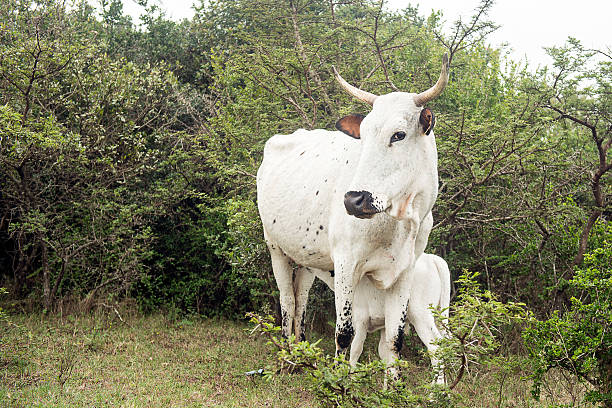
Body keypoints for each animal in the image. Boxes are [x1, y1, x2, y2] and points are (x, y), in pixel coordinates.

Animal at [256, 53, 452, 360]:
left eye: (399, 134)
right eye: (363, 135)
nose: (354, 199)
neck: (397, 222)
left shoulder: (404, 272)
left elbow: (394, 340)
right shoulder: (346, 265)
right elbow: (344, 335)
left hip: (307, 257)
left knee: (301, 299)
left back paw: (300, 351)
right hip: (276, 248)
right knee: (287, 301)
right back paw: (288, 355)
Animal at [304, 253, 450, 384]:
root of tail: (433, 259)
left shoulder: (360, 321)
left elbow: (355, 350)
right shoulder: (385, 326)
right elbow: (387, 356)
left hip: (421, 316)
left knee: (436, 348)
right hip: (439, 316)